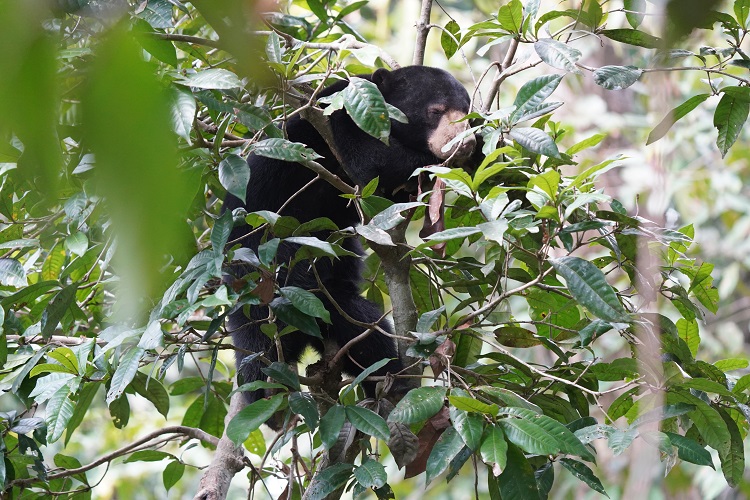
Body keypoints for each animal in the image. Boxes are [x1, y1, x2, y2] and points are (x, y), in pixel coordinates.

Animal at [223, 66, 475, 412]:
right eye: (435, 111)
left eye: (466, 111)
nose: (464, 143)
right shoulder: (341, 115)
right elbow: (374, 160)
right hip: (255, 268)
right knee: (259, 338)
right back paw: (266, 390)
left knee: (361, 324)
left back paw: (389, 382)